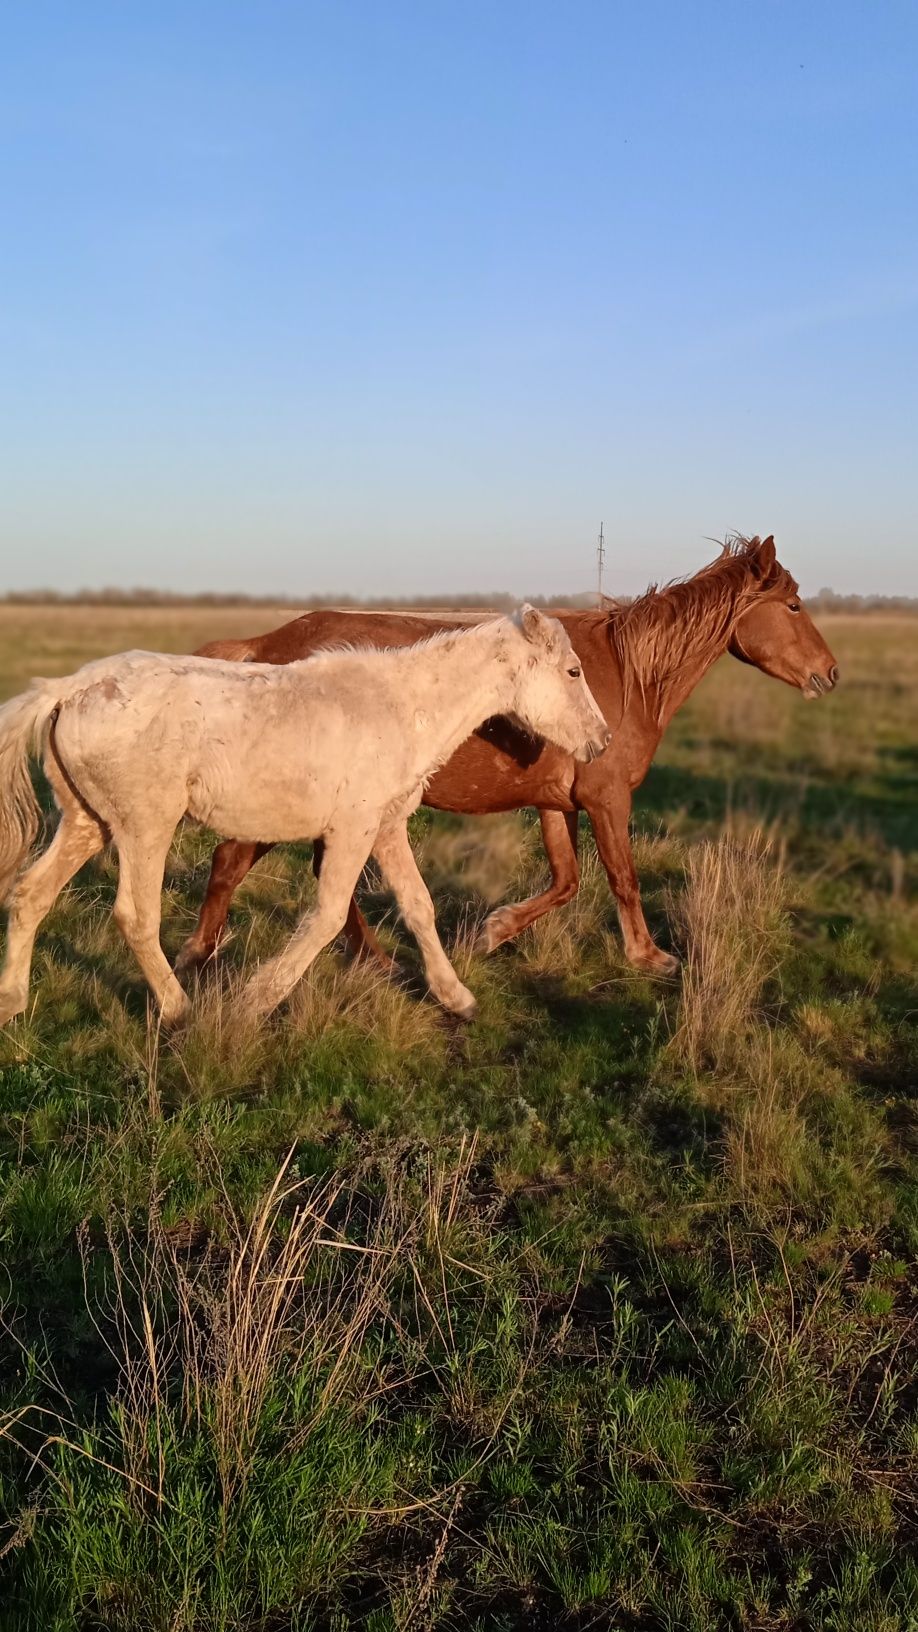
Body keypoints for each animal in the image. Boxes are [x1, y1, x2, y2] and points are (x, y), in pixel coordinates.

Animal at [0, 607, 607, 1024]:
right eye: (574, 672)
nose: (600, 741)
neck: (401, 707)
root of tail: (68, 689)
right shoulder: (352, 830)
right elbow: (329, 916)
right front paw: (253, 1002)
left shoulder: (386, 827)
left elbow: (419, 906)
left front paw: (456, 997)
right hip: (144, 827)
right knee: (135, 916)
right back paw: (179, 1010)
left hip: (87, 824)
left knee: (31, 894)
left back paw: (13, 1003)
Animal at [173, 535, 836, 972]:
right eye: (794, 605)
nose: (829, 673)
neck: (627, 676)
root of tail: (266, 644)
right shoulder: (607, 799)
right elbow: (623, 879)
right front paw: (650, 956)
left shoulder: (558, 804)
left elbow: (567, 881)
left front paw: (493, 933)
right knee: (233, 863)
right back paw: (198, 956)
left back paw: (370, 959)